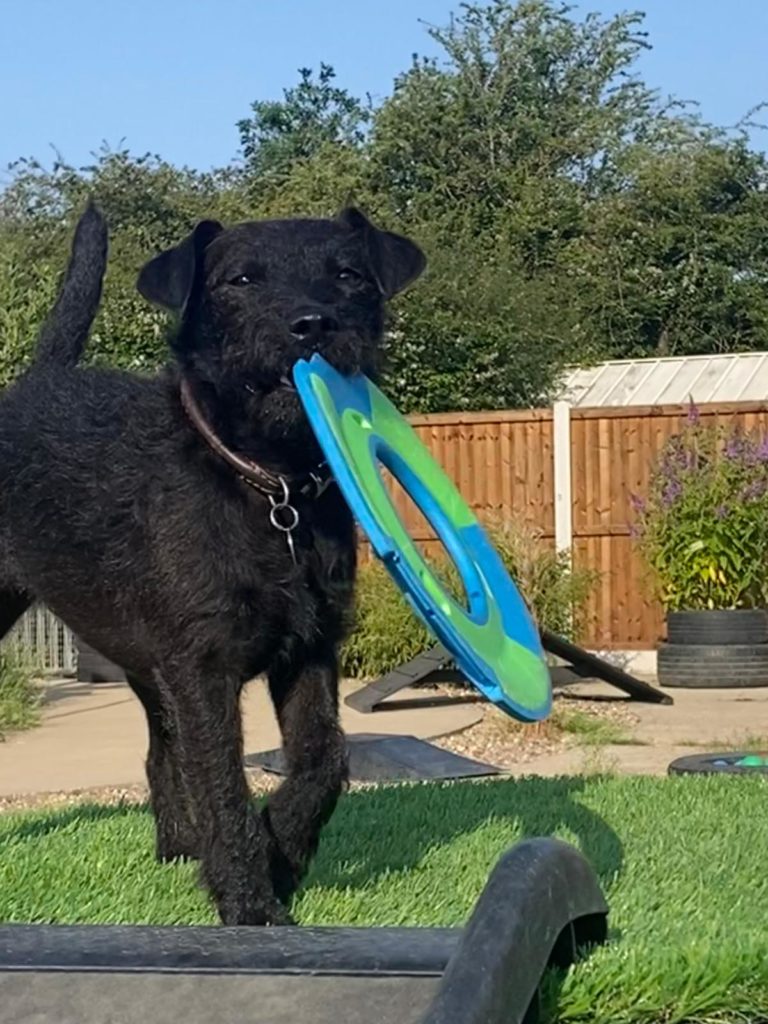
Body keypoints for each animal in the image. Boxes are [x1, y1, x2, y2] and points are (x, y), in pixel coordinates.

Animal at [0, 202, 425, 925]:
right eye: (242, 280)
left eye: (348, 274)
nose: (312, 323)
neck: (270, 487)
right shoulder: (202, 670)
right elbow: (223, 784)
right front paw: (251, 902)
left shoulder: (308, 648)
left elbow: (323, 756)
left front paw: (282, 847)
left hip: (145, 666)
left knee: (159, 754)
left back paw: (179, 846)